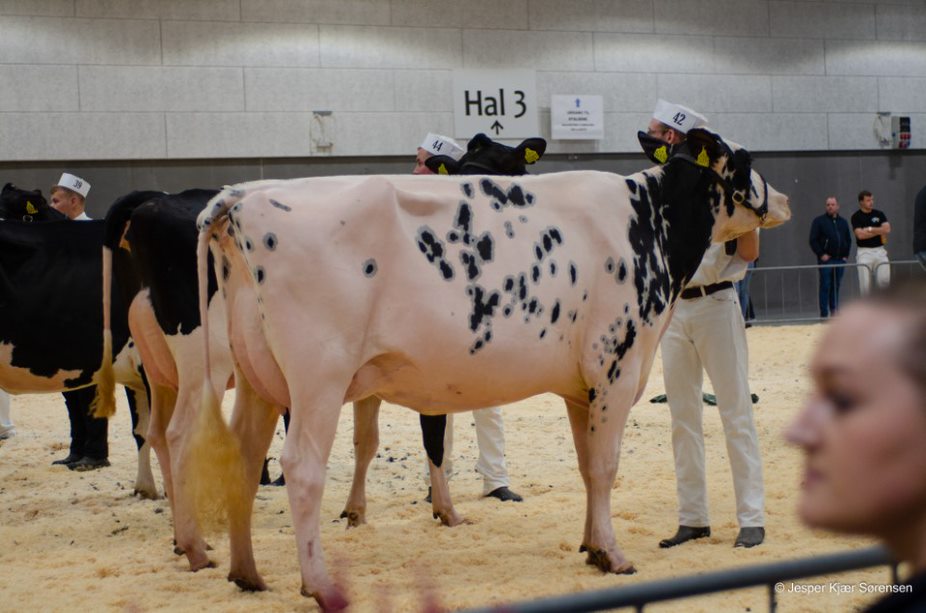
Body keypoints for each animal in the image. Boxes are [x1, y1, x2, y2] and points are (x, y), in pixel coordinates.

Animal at [188, 127, 790, 608]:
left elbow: (587, 465)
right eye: (748, 159)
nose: (783, 198)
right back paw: (316, 582)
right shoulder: (616, 368)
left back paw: (245, 573)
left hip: (258, 381)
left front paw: (591, 545)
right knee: (301, 468)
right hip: (317, 379)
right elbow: (605, 467)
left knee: (243, 459)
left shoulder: (581, 387)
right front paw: (614, 555)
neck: (648, 223)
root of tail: (243, 196)